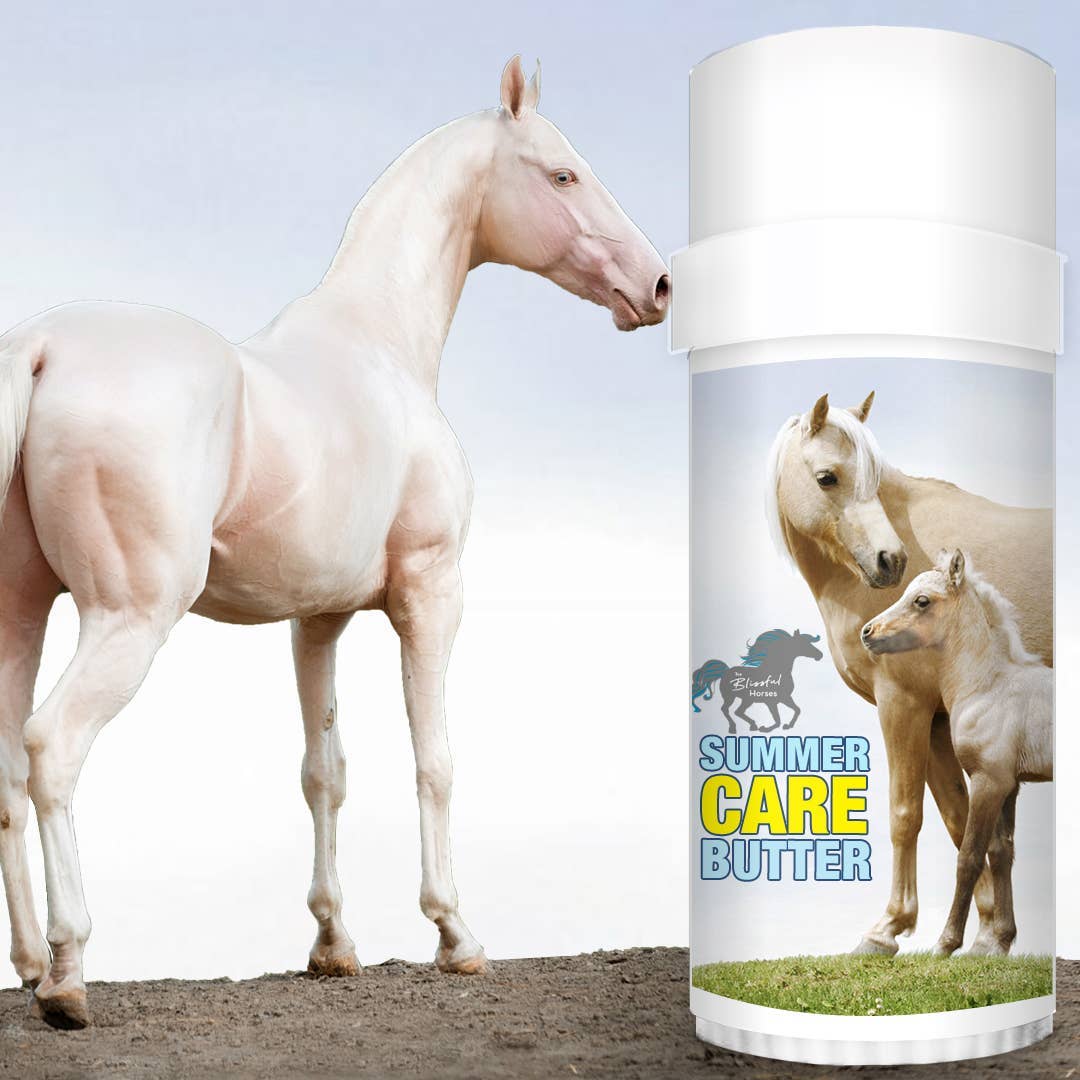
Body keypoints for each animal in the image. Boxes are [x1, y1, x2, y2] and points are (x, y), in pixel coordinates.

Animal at [0, 56, 670, 1029]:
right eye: (562, 174)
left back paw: (24, 963)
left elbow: (325, 772)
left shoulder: (315, 621)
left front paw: (332, 943)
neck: (380, 343)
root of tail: (45, 347)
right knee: (52, 748)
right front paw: (455, 934)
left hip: (22, 610)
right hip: (126, 618)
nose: (656, 287)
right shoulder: (430, 595)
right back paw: (66, 973)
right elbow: (434, 760)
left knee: (10, 769)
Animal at [691, 630, 822, 731]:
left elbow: (797, 710)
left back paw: (752, 726)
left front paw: (788, 726)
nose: (820, 655)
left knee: (738, 711)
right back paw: (735, 727)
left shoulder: (785, 698)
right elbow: (777, 720)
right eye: (803, 643)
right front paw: (765, 728)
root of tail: (725, 672)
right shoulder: (771, 701)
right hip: (731, 697)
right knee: (727, 710)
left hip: (747, 699)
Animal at [862, 550, 1052, 956]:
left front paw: (946, 943)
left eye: (921, 601)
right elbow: (1001, 852)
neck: (991, 686)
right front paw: (999, 943)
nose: (867, 632)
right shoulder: (1009, 785)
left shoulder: (988, 781)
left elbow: (969, 855)